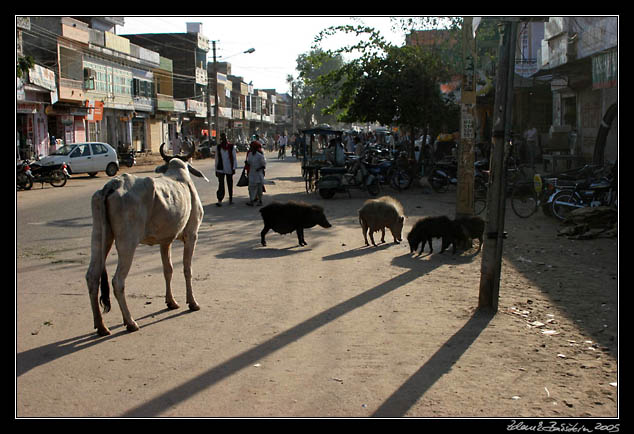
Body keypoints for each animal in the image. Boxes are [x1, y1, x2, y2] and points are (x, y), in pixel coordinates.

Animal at [86, 145, 207, 336]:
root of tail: (111, 185)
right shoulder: (192, 234)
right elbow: (187, 269)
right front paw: (192, 302)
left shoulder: (165, 241)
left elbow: (168, 270)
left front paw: (171, 302)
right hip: (127, 243)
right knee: (117, 281)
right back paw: (130, 322)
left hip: (99, 237)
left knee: (92, 276)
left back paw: (101, 326)